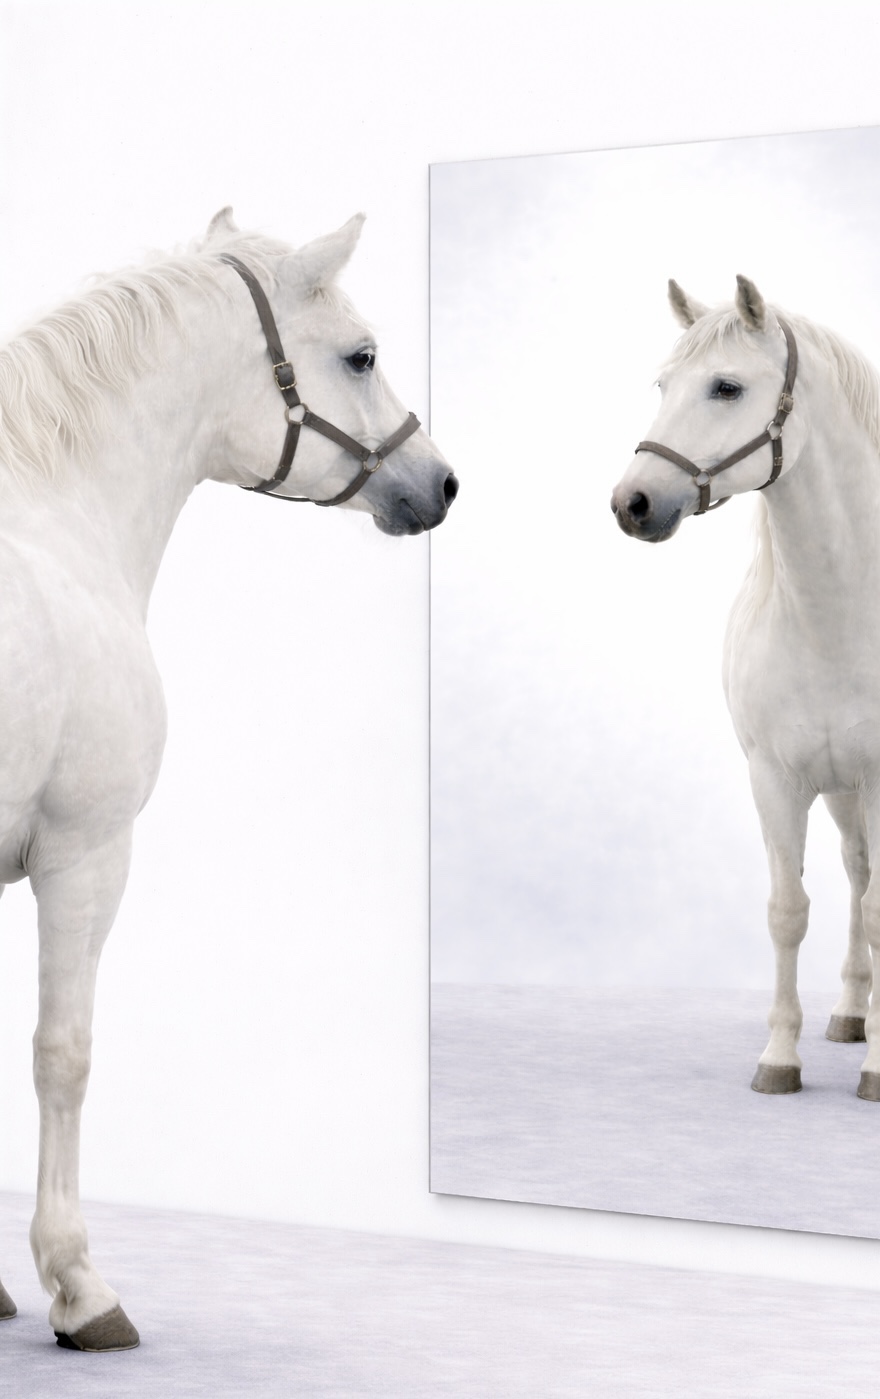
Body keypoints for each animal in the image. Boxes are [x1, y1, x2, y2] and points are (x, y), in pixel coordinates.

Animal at [611, 274, 880, 1104]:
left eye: (726, 386)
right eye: (663, 385)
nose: (632, 502)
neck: (837, 614)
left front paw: (878, 1073)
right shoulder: (775, 778)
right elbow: (789, 910)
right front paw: (780, 1057)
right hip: (841, 794)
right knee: (855, 873)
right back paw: (852, 1014)